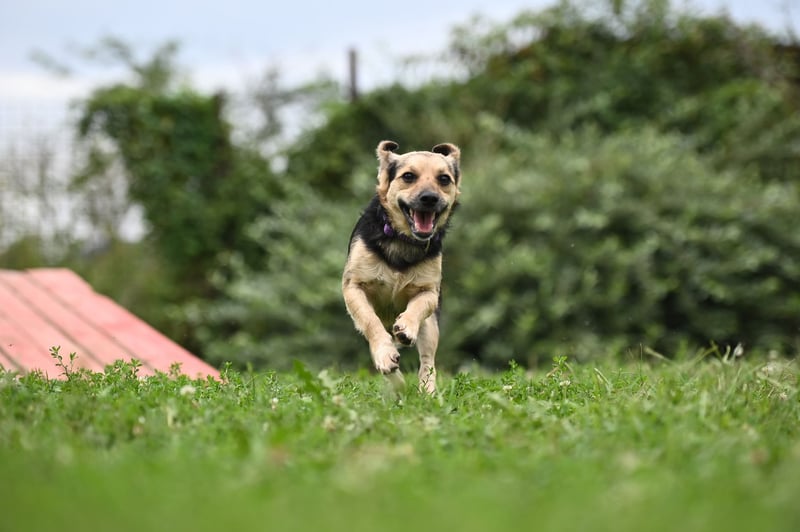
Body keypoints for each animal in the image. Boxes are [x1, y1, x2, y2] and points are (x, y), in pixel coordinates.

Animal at [342, 140, 462, 394]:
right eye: (408, 176)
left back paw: (427, 391)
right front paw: (386, 356)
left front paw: (406, 327)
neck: (403, 239)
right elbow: (371, 322)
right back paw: (395, 379)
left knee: (427, 360)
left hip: (431, 327)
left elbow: (417, 307)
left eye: (444, 179)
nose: (429, 198)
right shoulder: (354, 287)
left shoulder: (429, 291)